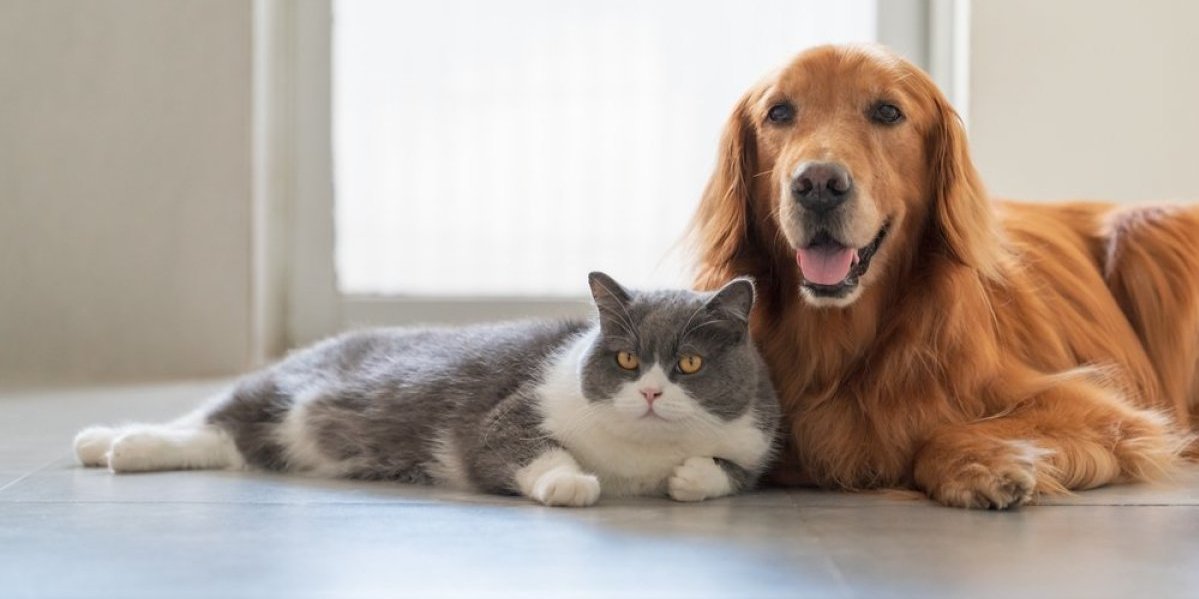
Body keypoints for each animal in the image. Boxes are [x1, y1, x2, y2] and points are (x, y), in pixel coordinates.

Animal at [77, 274, 786, 507]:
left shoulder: (759, 443)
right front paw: (569, 483)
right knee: (208, 415)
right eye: (627, 358)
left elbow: (727, 473)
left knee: (223, 440)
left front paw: (692, 475)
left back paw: (120, 448)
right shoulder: (503, 418)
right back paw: (108, 440)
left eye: (689, 363)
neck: (636, 461)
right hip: (277, 389)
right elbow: (530, 449)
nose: (650, 395)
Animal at [690, 44, 1199, 507]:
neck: (842, 344)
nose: (817, 185)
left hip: (1147, 234)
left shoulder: (1100, 408)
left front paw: (982, 465)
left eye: (888, 111)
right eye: (778, 112)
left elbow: (940, 434)